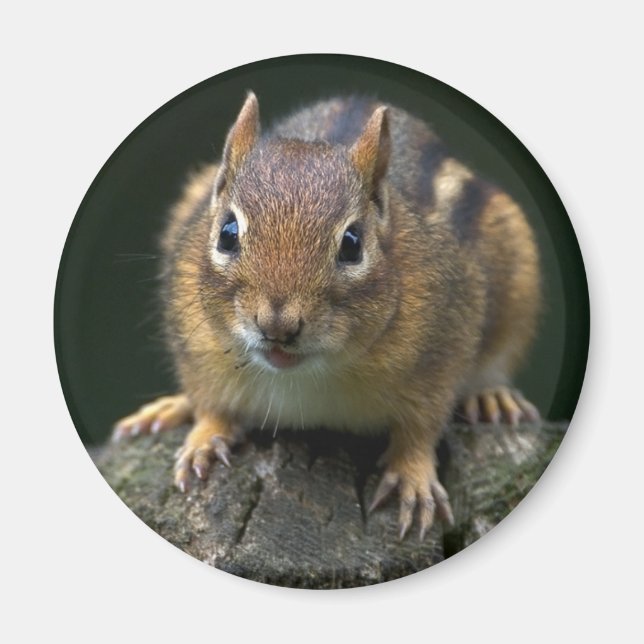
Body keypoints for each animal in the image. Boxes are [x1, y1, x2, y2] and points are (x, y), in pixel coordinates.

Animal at [114, 92, 541, 540]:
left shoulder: (442, 349)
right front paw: (203, 439)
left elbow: (421, 427)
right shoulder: (197, 345)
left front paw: (414, 476)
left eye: (352, 243)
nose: (277, 326)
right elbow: (211, 402)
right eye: (227, 232)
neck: (307, 376)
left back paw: (491, 396)